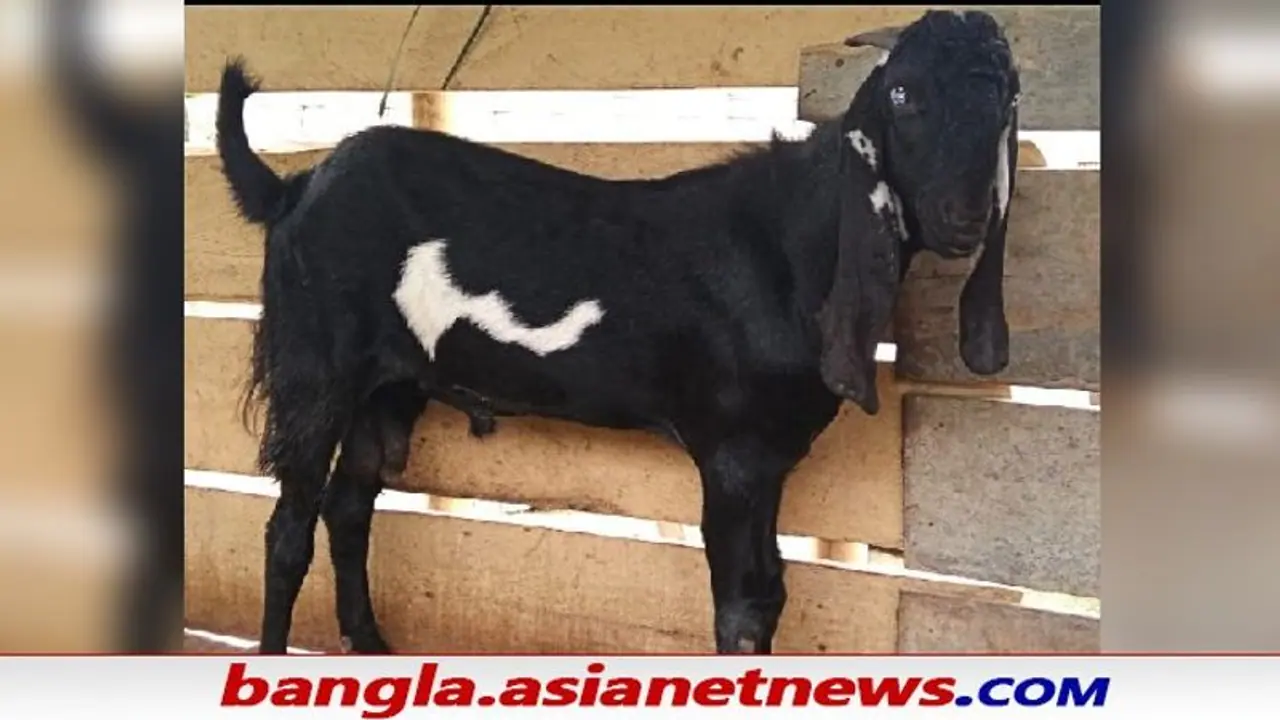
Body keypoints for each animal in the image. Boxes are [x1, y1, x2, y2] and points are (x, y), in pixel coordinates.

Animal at [216, 9, 1021, 655]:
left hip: (391, 385)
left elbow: (770, 593)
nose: (963, 218)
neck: (789, 248)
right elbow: (741, 606)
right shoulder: (730, 451)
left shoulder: (769, 455)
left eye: (1007, 99)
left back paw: (372, 644)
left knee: (349, 505)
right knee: (287, 530)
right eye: (902, 95)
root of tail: (294, 188)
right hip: (314, 365)